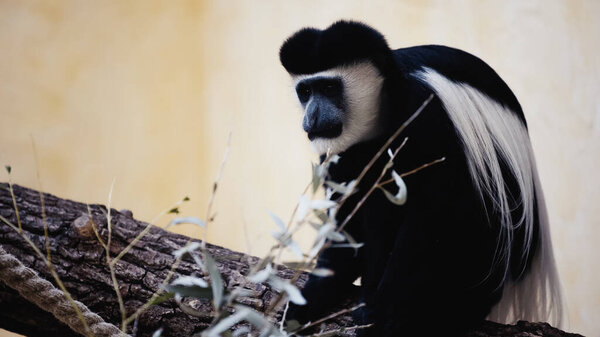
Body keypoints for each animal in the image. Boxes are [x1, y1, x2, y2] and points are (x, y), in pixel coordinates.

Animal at [278, 20, 564, 334]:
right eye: (305, 91)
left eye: (329, 87)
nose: (311, 117)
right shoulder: (337, 153)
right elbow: (347, 222)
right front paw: (307, 302)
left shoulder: (427, 113)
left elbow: (430, 217)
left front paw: (382, 314)